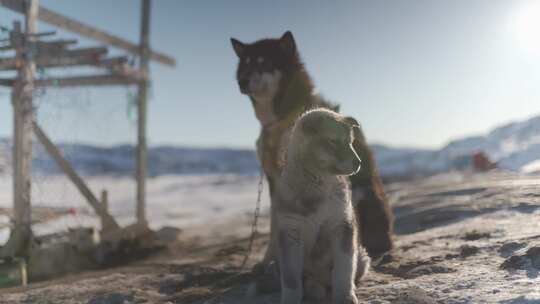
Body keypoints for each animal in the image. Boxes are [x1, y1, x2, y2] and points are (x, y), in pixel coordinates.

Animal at [230, 32, 394, 270]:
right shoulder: (275, 181)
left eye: (265, 63)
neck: (280, 118)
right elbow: (275, 224)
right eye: (245, 64)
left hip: (362, 196)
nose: (241, 81)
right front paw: (270, 259)